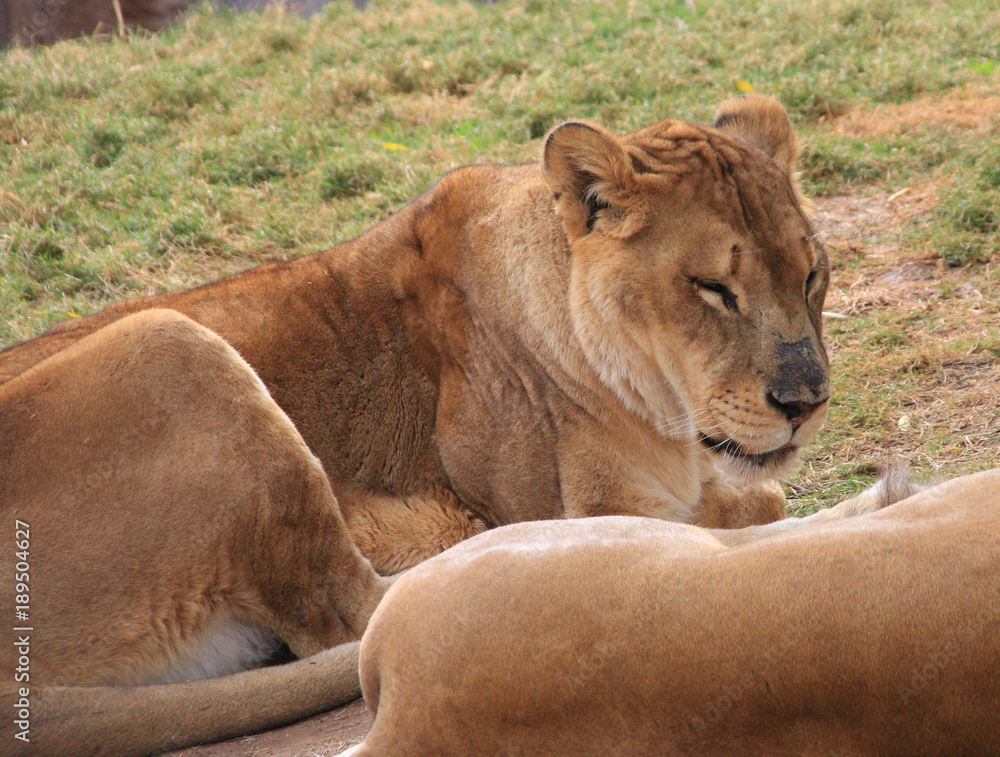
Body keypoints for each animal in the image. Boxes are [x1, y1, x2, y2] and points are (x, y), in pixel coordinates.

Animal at [1, 95, 866, 755]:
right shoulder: (598, 498)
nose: (807, 399)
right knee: (358, 609)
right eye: (713, 288)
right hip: (168, 343)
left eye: (811, 273)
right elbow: (744, 507)